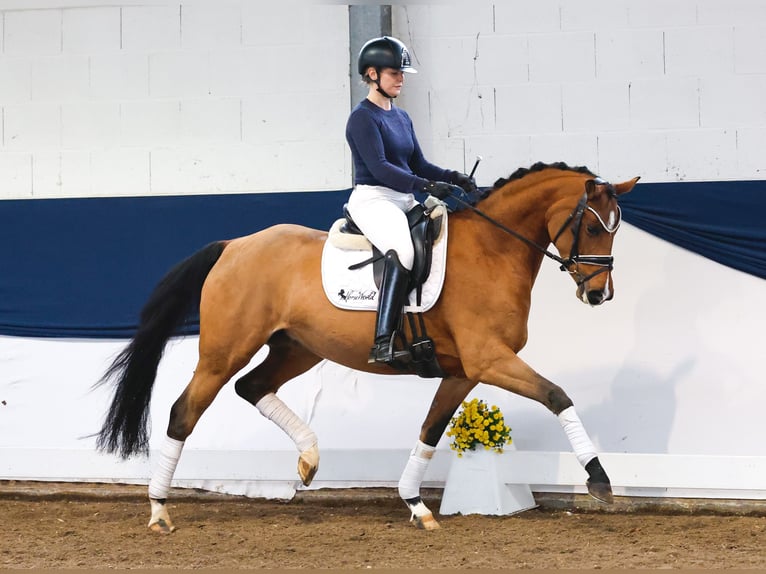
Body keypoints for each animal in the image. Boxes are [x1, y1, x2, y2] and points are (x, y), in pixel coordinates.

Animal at [96, 162, 640, 536]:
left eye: (616, 229)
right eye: (594, 226)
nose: (599, 295)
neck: (492, 249)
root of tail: (235, 245)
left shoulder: (465, 369)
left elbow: (431, 428)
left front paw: (415, 504)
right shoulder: (490, 359)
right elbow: (557, 396)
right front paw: (599, 479)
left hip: (298, 348)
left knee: (252, 387)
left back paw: (309, 458)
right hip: (224, 350)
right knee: (184, 411)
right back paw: (159, 510)